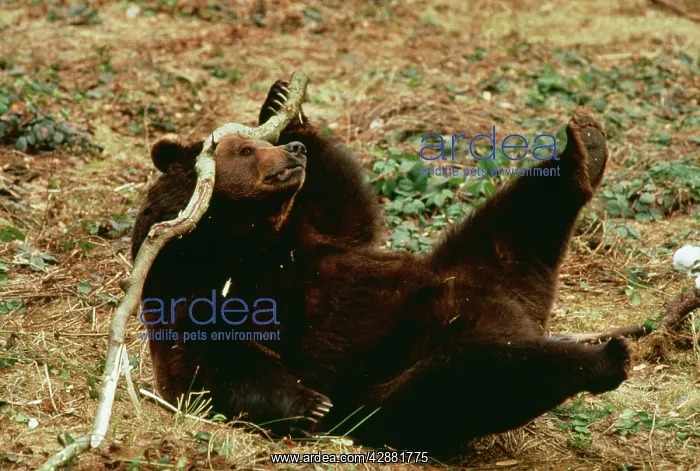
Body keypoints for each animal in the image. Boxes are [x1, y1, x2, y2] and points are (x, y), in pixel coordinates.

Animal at [131, 79, 630, 456]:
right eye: (244, 151)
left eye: (260, 140)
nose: (292, 150)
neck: (242, 240)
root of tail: (521, 314)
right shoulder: (192, 293)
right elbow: (213, 368)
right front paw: (307, 403)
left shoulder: (309, 238)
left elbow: (351, 210)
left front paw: (285, 105)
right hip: (396, 379)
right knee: (473, 377)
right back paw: (604, 356)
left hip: (477, 263)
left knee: (523, 214)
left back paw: (586, 148)